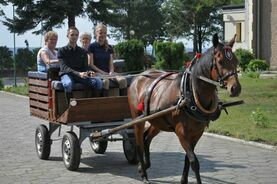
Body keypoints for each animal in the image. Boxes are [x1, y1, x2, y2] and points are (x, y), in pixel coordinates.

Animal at [126, 33, 239, 184]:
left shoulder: (197, 133)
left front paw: (183, 180)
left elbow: (188, 159)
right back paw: (144, 175)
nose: (235, 88)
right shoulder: (182, 133)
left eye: (236, 61)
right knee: (138, 142)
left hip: (157, 120)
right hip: (137, 119)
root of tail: (138, 77)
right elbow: (194, 161)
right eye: (220, 62)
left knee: (146, 138)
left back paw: (144, 165)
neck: (189, 92)